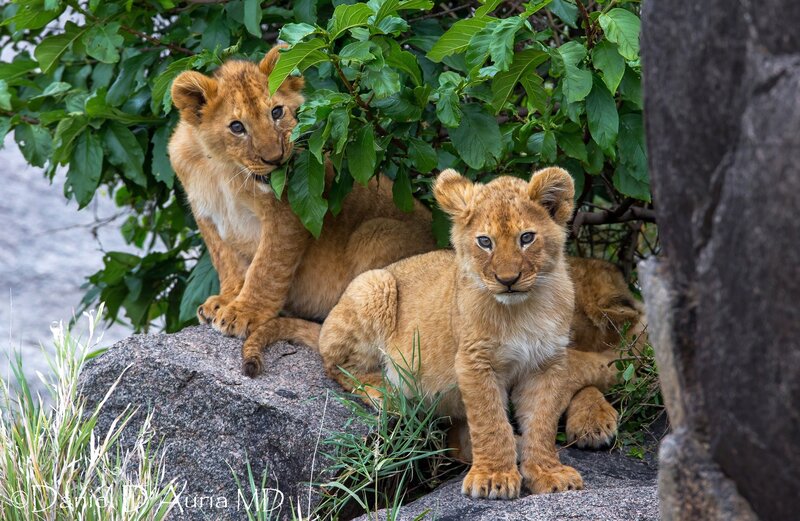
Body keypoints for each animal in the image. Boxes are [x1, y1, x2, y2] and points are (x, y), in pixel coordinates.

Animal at [168, 45, 436, 376]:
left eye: (276, 112)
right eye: (236, 127)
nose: (275, 159)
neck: (225, 170)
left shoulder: (286, 213)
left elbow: (266, 268)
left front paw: (243, 313)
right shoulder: (206, 214)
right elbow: (226, 260)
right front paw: (225, 300)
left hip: (375, 234)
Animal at [318, 167, 623, 498]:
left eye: (526, 238)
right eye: (485, 242)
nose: (508, 280)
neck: (523, 310)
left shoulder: (547, 364)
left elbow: (542, 422)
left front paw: (548, 473)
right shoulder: (474, 361)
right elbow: (490, 421)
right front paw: (493, 478)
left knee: (457, 443)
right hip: (375, 284)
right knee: (339, 366)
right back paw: (392, 394)